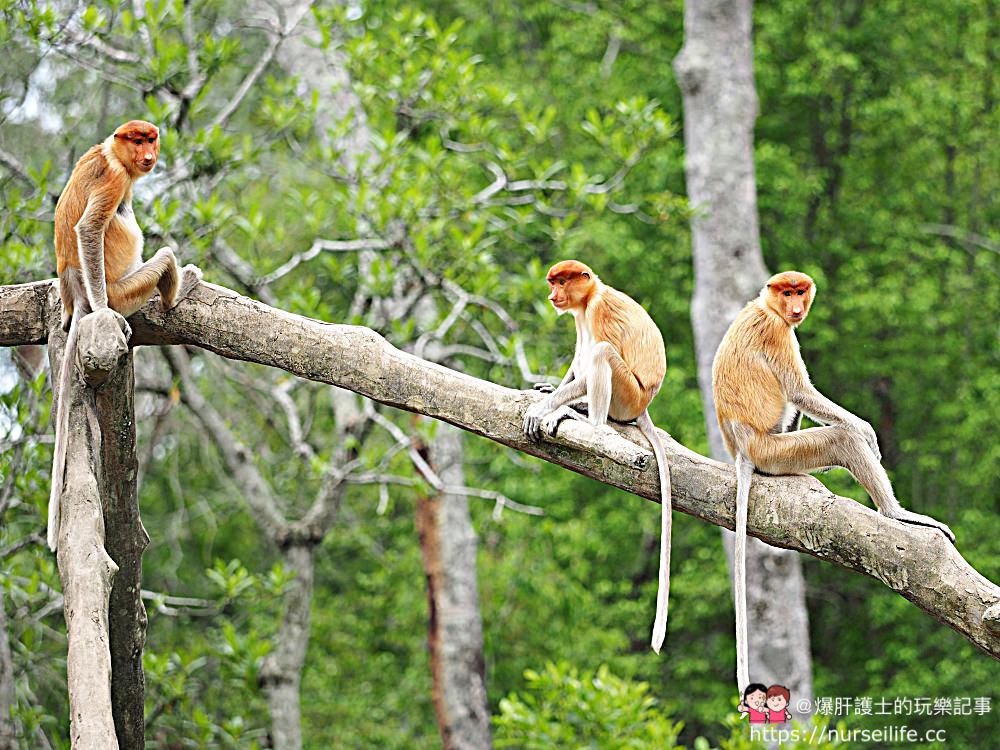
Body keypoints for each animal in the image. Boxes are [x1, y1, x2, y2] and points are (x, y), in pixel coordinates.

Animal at [48, 119, 201, 552]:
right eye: (137, 140)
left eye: (151, 139)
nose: (148, 155)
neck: (111, 153)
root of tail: (76, 293)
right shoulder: (114, 178)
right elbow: (89, 228)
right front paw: (104, 313)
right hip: (125, 290)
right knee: (163, 256)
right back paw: (178, 290)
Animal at [524, 262, 672, 656]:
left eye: (561, 281)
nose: (552, 295)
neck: (591, 296)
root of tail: (645, 405)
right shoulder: (579, 317)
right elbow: (578, 356)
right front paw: (548, 391)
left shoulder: (598, 312)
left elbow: (595, 355)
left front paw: (544, 406)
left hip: (627, 395)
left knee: (602, 353)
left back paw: (588, 421)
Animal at [712, 270, 952, 692]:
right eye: (787, 293)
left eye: (799, 292)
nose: (795, 307)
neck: (765, 307)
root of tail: (743, 449)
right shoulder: (777, 332)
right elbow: (800, 391)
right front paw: (867, 432)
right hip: (776, 451)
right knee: (840, 438)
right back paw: (895, 513)